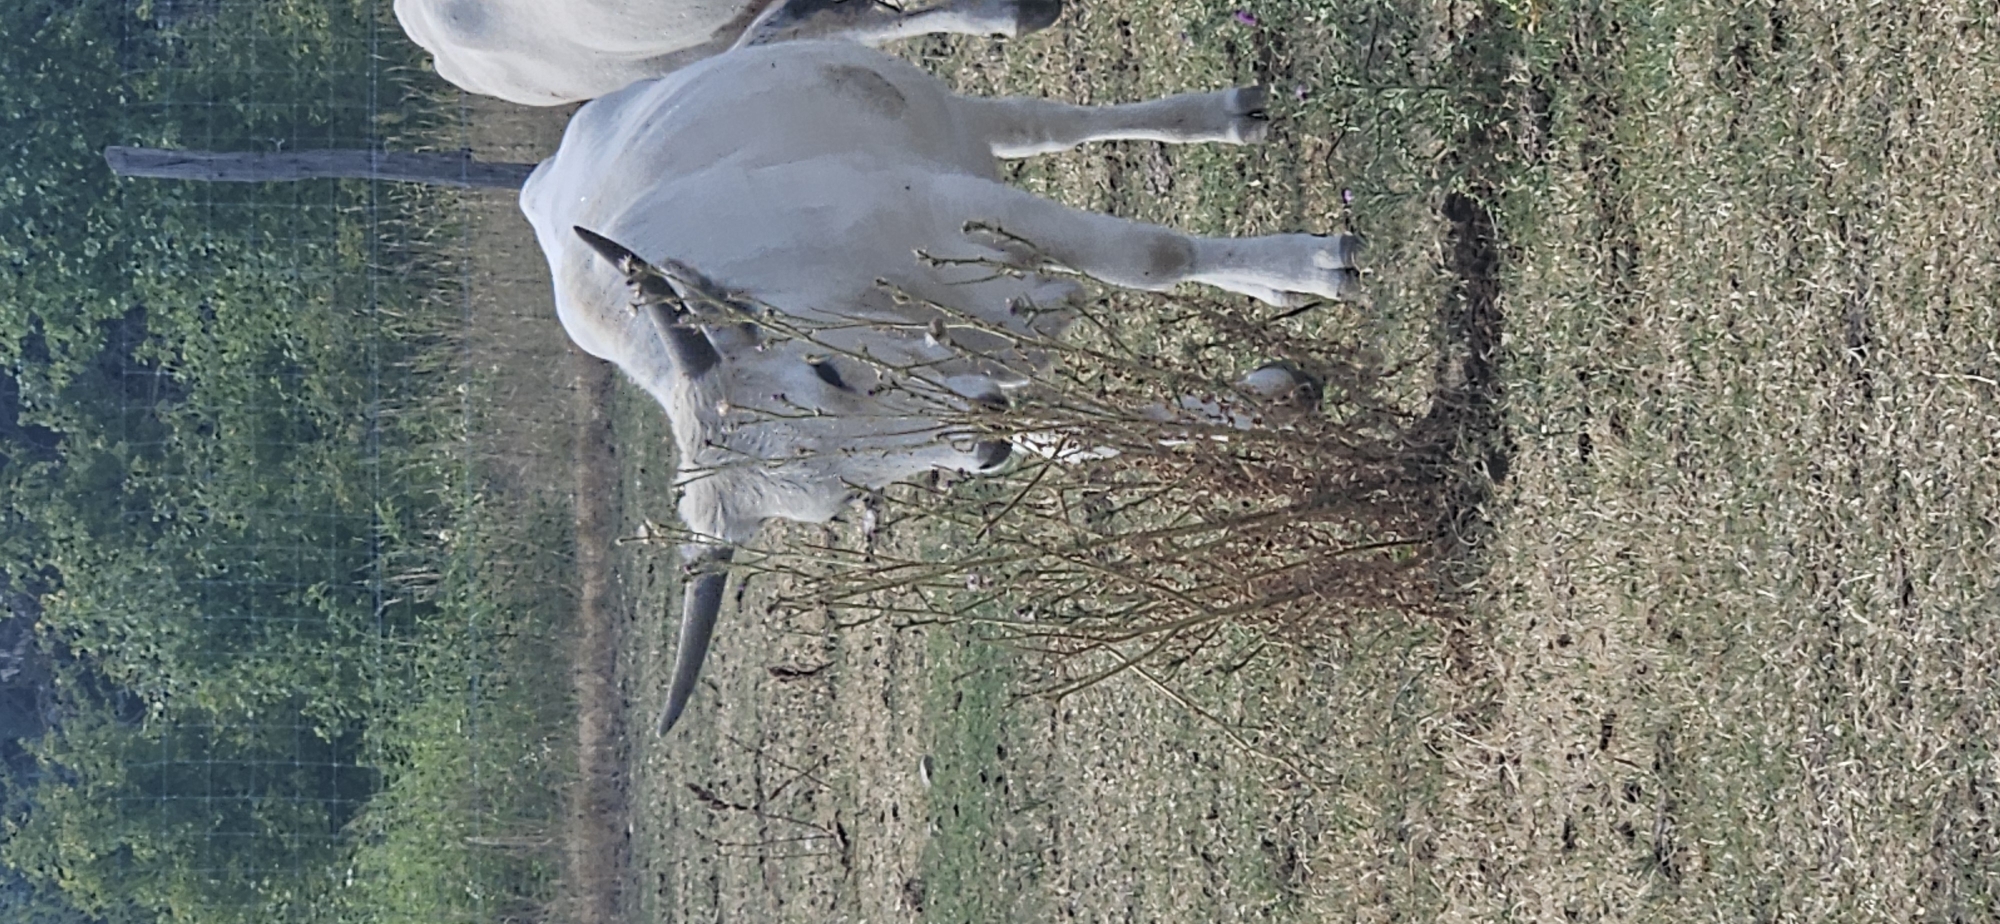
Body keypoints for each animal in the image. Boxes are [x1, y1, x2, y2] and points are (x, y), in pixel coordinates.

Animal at [518, 40, 1364, 732]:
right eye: (843, 497)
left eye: (825, 370)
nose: (979, 443)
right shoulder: (990, 375)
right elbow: (1075, 437)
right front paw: (1266, 403)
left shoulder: (958, 206)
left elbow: (1153, 256)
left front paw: (1315, 266)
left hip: (935, 110)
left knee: (1042, 123)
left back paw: (1231, 118)